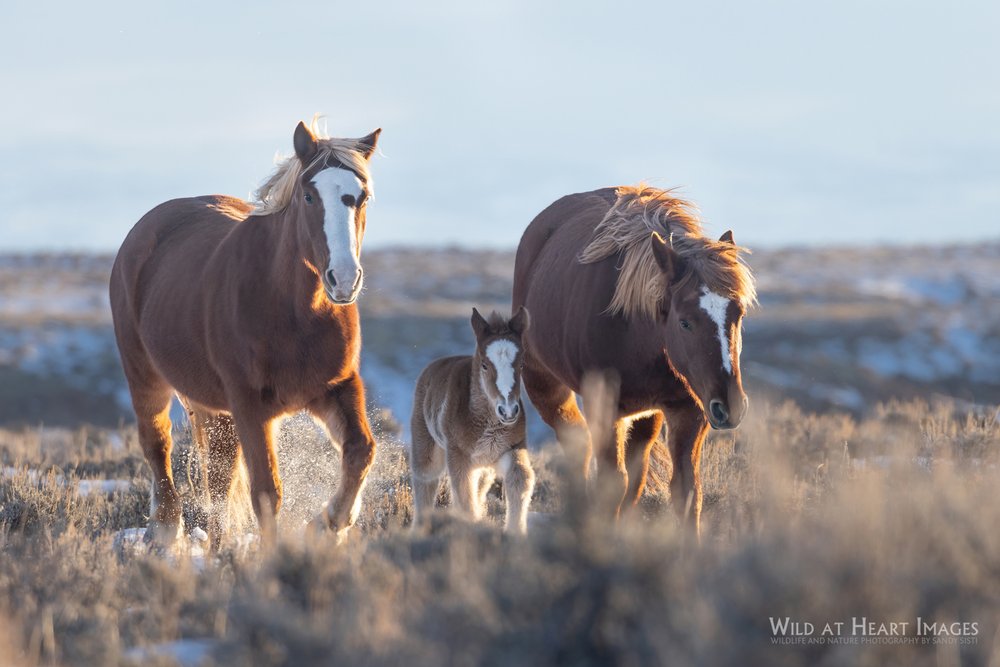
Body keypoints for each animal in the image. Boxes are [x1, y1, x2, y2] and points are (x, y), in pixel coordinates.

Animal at [111, 120, 380, 548]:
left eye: (363, 196)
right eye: (308, 195)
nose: (343, 279)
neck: (292, 310)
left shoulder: (337, 387)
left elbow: (361, 451)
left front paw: (326, 525)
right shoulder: (251, 404)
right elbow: (267, 490)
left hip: (216, 410)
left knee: (219, 477)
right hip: (145, 377)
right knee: (158, 445)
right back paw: (167, 533)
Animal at [512, 185, 752, 536]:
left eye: (738, 315)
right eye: (685, 322)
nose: (730, 405)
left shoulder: (690, 409)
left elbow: (686, 490)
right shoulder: (605, 406)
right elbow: (613, 483)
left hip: (646, 414)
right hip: (544, 384)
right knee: (577, 445)